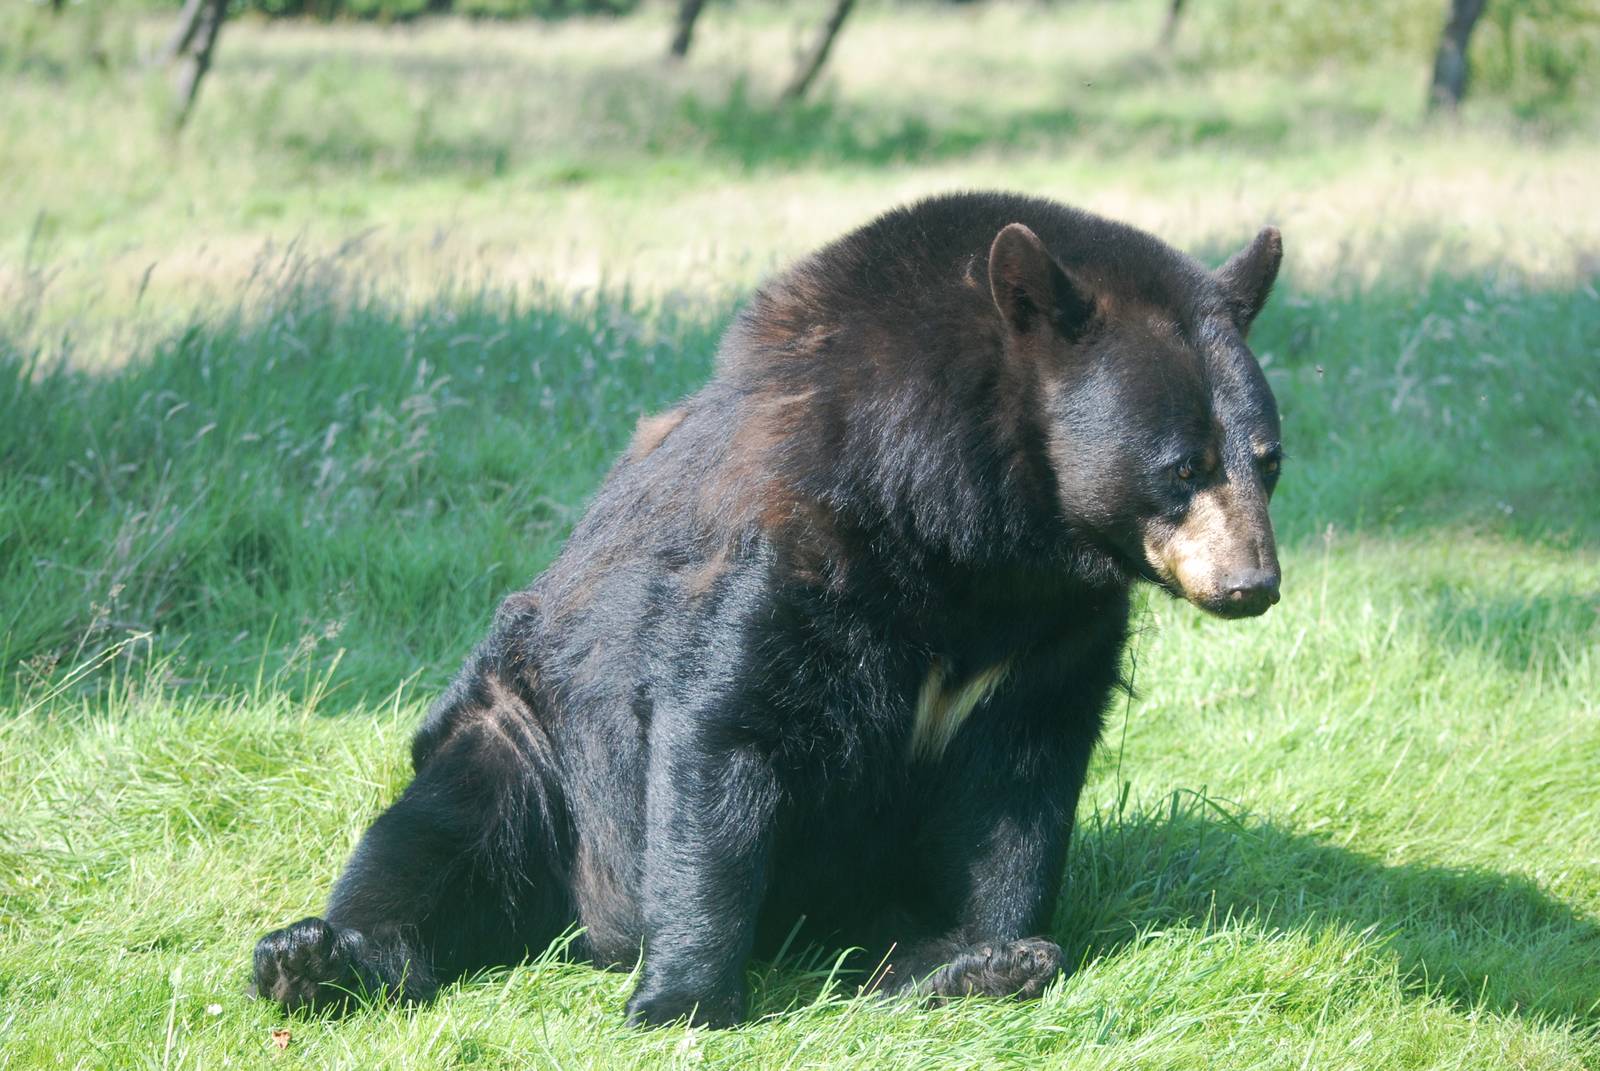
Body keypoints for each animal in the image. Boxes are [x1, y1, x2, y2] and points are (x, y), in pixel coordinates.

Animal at [252, 191, 1285, 1029]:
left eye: (1268, 458)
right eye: (1182, 466)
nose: (1253, 583)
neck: (973, 527)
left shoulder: (1054, 625)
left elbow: (1019, 785)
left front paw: (992, 952)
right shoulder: (795, 535)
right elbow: (726, 722)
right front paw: (682, 1000)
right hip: (526, 735)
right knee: (439, 836)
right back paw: (315, 959)